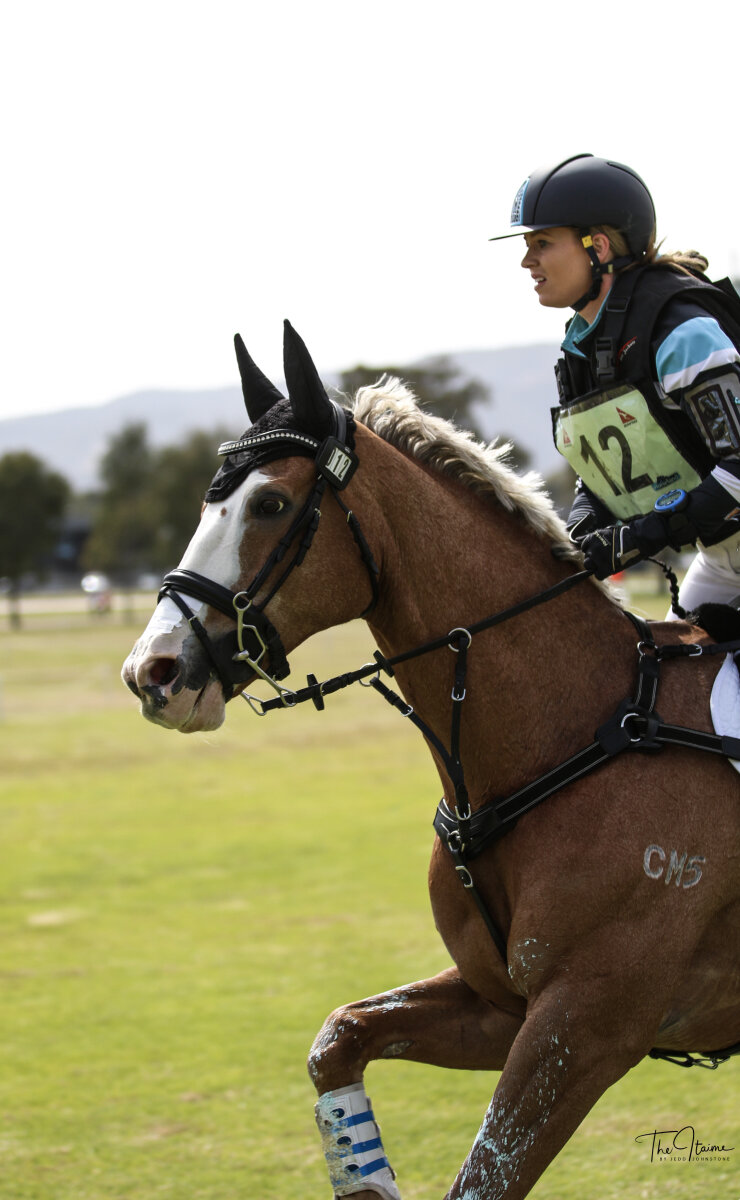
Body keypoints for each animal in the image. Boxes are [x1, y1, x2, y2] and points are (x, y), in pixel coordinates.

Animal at [122, 321, 740, 1200]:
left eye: (271, 502)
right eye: (213, 499)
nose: (154, 672)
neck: (570, 731)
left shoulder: (584, 1027)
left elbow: (482, 1177)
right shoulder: (501, 1004)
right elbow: (339, 1036)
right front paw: (368, 1179)